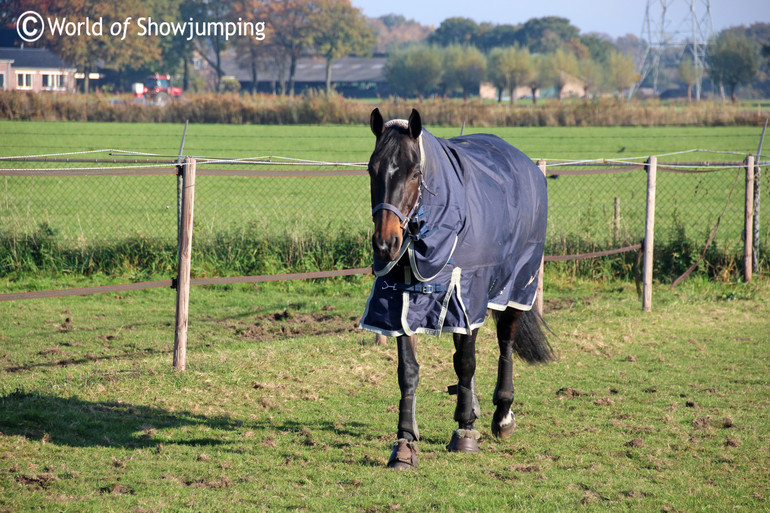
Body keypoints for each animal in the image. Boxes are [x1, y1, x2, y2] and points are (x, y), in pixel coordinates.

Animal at [358, 108, 552, 468]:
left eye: (414, 172)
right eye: (371, 169)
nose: (386, 244)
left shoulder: (468, 293)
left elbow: (466, 362)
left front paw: (465, 432)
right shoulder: (399, 305)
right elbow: (409, 371)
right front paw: (405, 442)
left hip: (515, 286)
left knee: (504, 341)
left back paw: (502, 415)